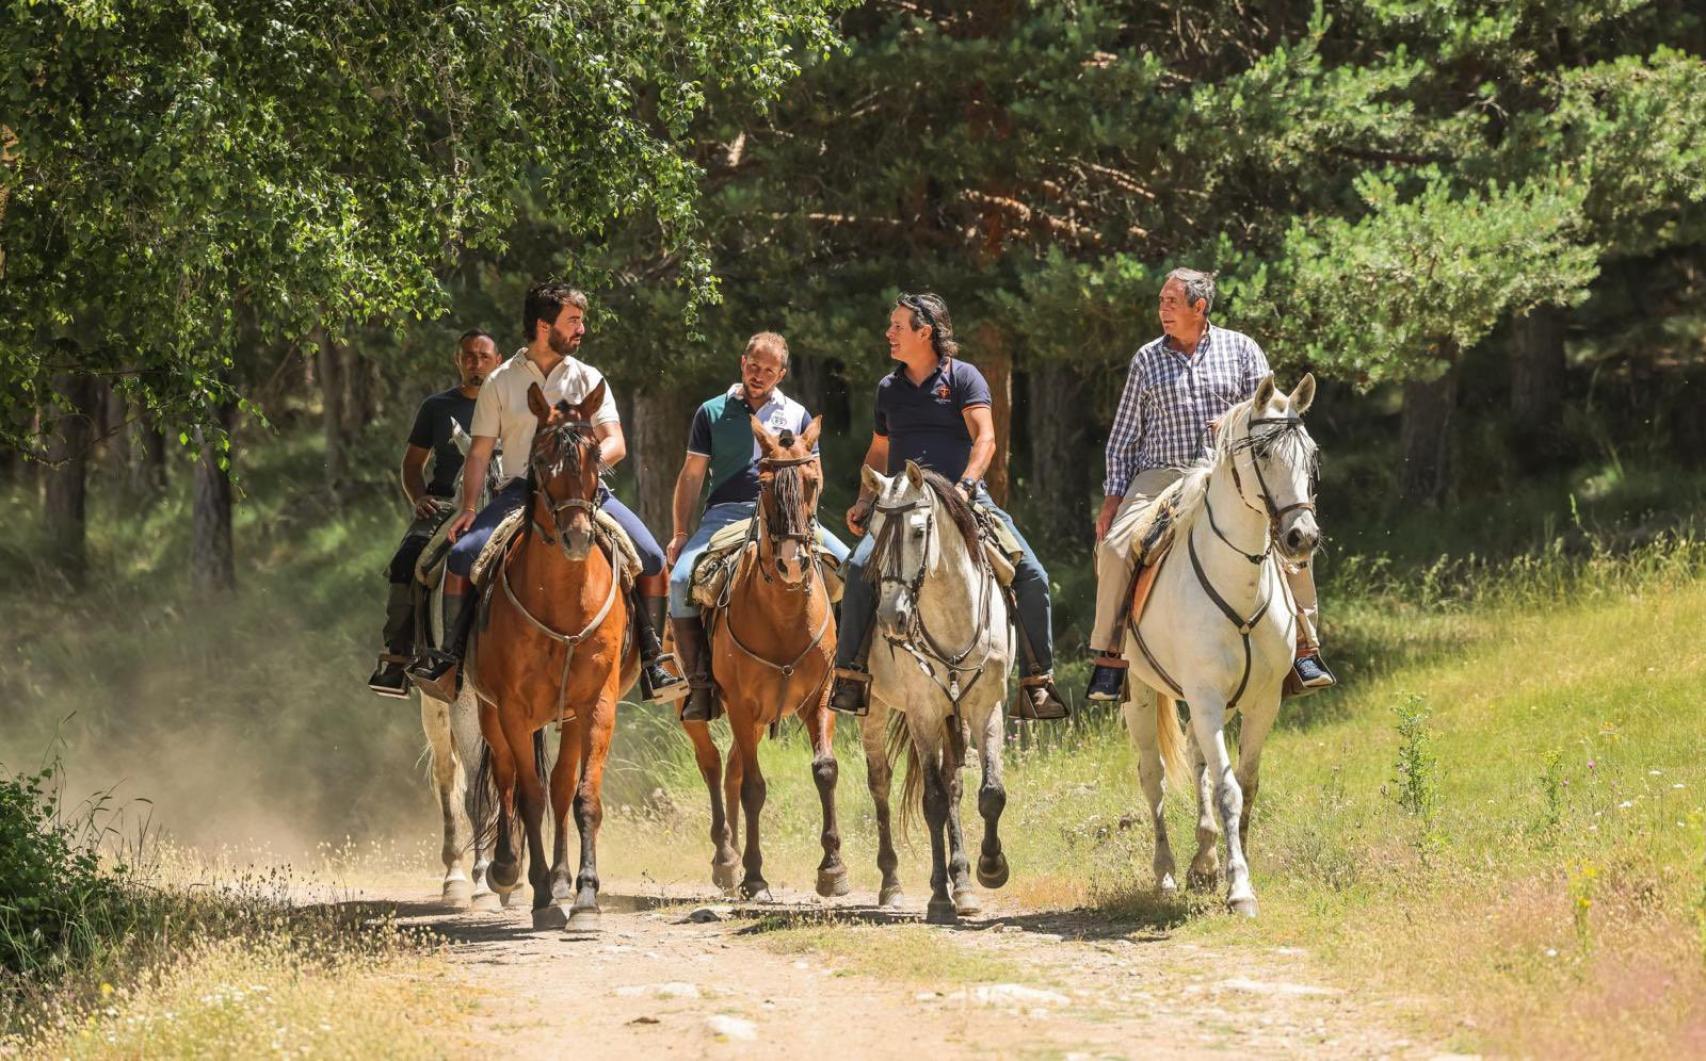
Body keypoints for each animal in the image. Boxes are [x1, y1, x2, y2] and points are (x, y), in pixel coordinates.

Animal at [470, 382, 638, 927]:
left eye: (595, 456)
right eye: (542, 459)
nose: (577, 536)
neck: (562, 601)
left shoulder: (597, 705)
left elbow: (583, 797)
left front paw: (584, 897)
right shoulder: (514, 709)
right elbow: (527, 795)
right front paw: (541, 895)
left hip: (567, 717)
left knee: (562, 786)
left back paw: (564, 881)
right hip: (490, 713)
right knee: (505, 779)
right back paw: (508, 869)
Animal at [675, 419, 842, 900]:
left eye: (812, 481)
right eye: (765, 485)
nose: (792, 562)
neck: (784, 614)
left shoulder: (820, 698)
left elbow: (825, 771)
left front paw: (833, 868)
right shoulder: (742, 705)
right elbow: (753, 789)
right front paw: (754, 876)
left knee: (730, 768)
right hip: (701, 709)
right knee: (713, 765)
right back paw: (726, 860)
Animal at [853, 460, 1009, 927]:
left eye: (919, 531)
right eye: (873, 529)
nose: (891, 618)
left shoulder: (986, 708)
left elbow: (989, 793)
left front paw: (989, 869)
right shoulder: (922, 713)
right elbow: (933, 801)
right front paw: (939, 897)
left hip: (952, 718)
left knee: (955, 782)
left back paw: (964, 885)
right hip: (874, 710)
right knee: (881, 782)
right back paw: (892, 885)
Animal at [1119, 373, 1330, 914]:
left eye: (1310, 454)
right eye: (1265, 454)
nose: (1302, 538)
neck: (1239, 583)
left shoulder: (1261, 702)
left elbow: (1246, 784)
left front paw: (1236, 864)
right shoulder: (1208, 698)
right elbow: (1229, 790)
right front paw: (1239, 888)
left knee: (1198, 760)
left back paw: (1204, 858)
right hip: (1140, 697)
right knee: (1152, 776)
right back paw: (1167, 873)